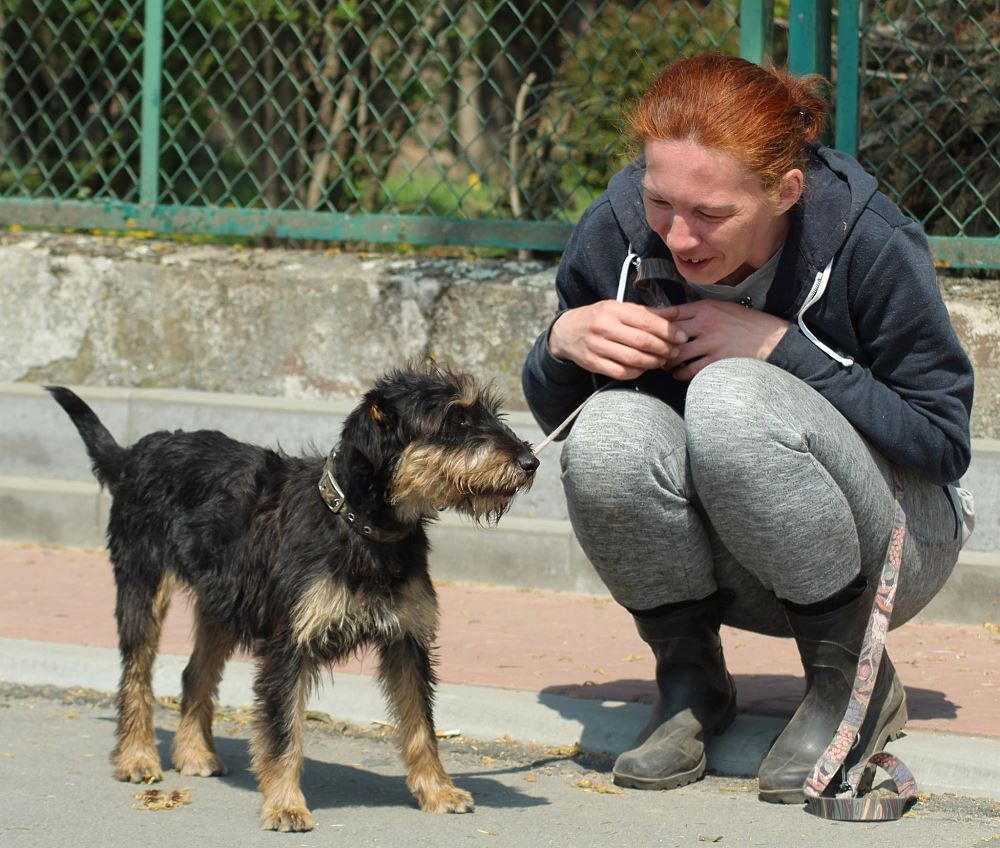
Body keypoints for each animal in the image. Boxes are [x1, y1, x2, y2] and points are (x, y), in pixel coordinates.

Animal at [47, 364, 539, 831]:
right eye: (456, 419)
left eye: (489, 413)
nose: (530, 461)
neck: (360, 526)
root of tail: (135, 454)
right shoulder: (288, 647)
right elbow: (284, 733)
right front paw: (285, 805)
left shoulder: (407, 640)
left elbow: (421, 726)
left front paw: (438, 791)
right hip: (143, 589)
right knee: (136, 675)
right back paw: (136, 756)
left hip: (220, 604)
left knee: (194, 673)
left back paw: (193, 753)